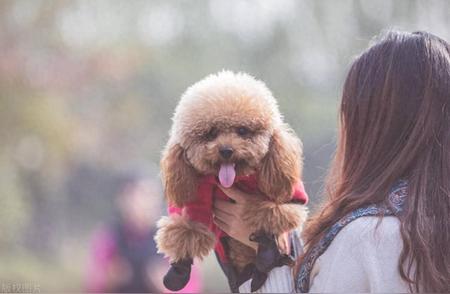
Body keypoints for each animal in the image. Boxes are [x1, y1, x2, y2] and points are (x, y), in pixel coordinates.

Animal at [156, 70, 310, 292]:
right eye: (211, 133)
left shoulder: (288, 194)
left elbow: (274, 213)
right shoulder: (198, 194)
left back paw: (267, 254)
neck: (237, 180)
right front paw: (179, 270)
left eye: (243, 131)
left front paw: (268, 242)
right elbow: (191, 226)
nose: (226, 150)